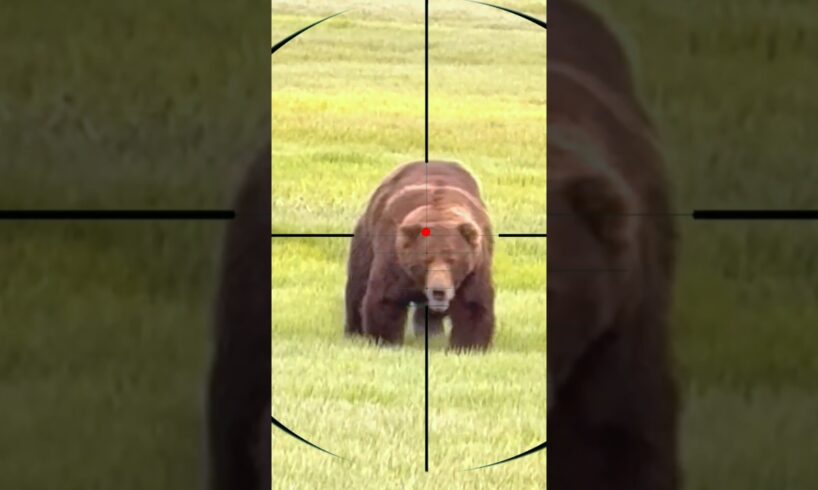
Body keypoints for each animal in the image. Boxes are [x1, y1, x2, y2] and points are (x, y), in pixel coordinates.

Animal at [344, 160, 495, 350]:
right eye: (425, 259)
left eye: (452, 259)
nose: (439, 290)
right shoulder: (395, 260)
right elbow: (386, 299)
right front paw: (386, 341)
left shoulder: (473, 269)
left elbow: (471, 305)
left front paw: (468, 346)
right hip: (366, 239)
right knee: (358, 284)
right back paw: (353, 331)